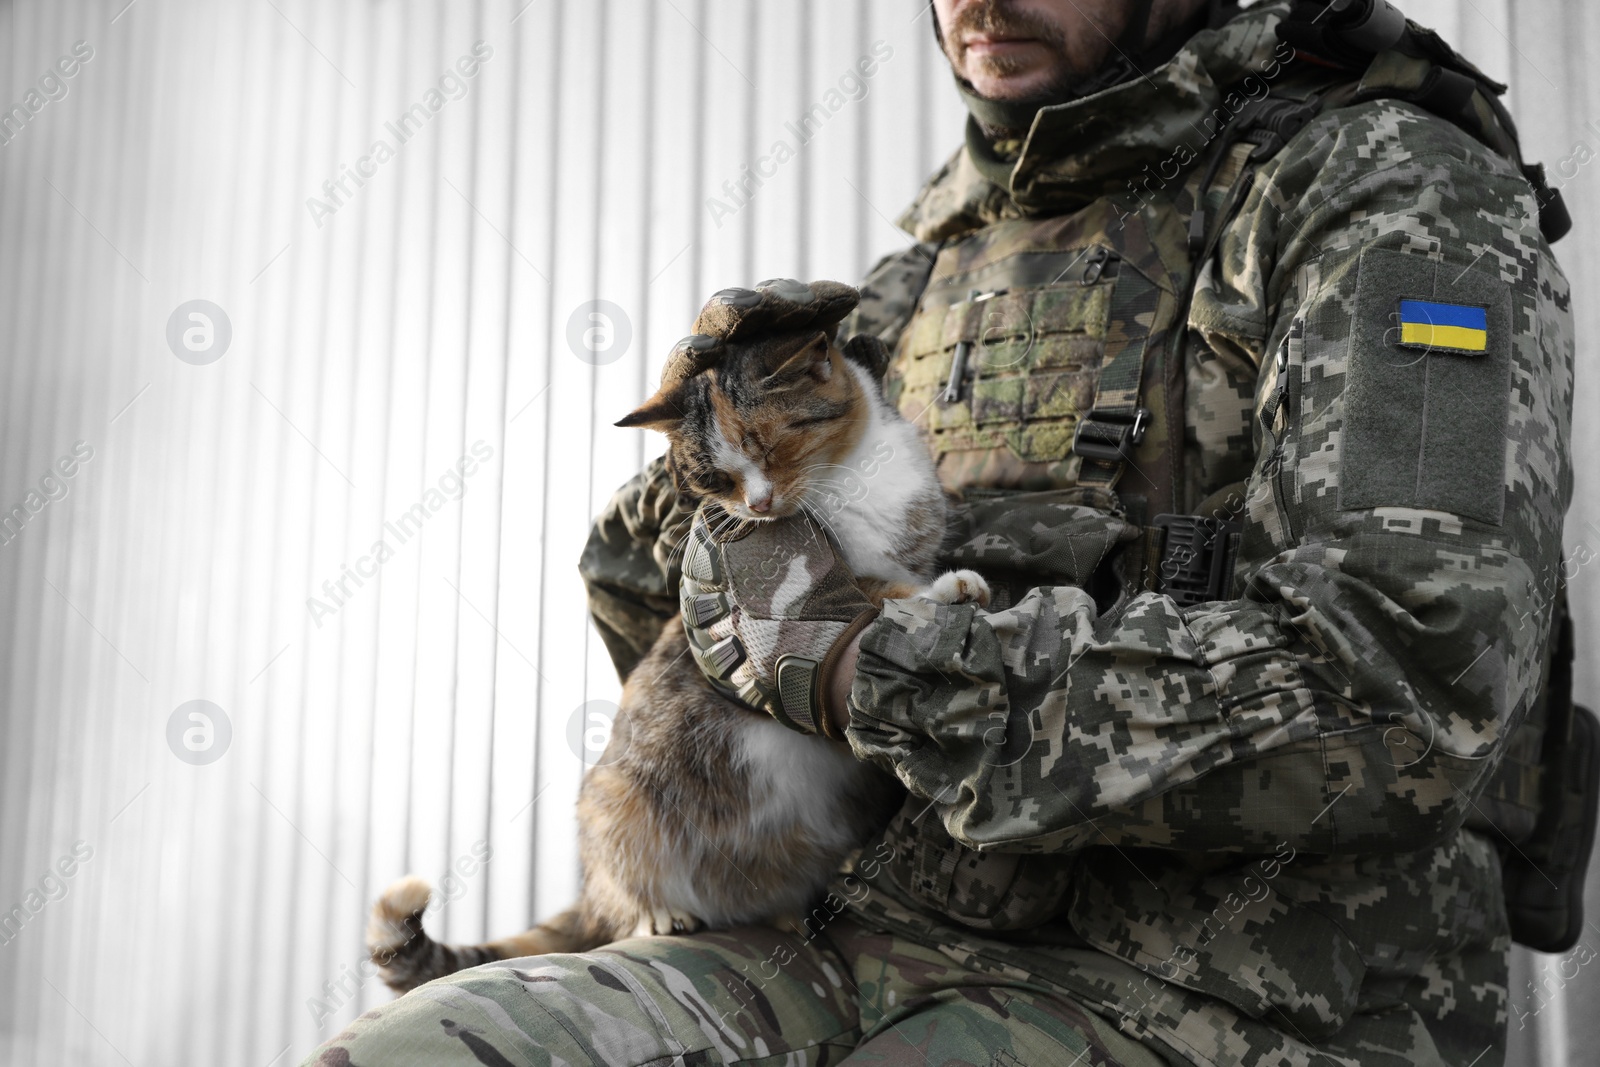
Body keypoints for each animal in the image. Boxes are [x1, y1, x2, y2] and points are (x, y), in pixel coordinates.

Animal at [368, 316, 985, 991]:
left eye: (771, 447)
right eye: (715, 479)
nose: (758, 506)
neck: (850, 480)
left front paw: (946, 590)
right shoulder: (844, 578)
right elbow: (879, 595)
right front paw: (944, 592)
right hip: (616, 808)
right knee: (626, 895)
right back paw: (660, 913)